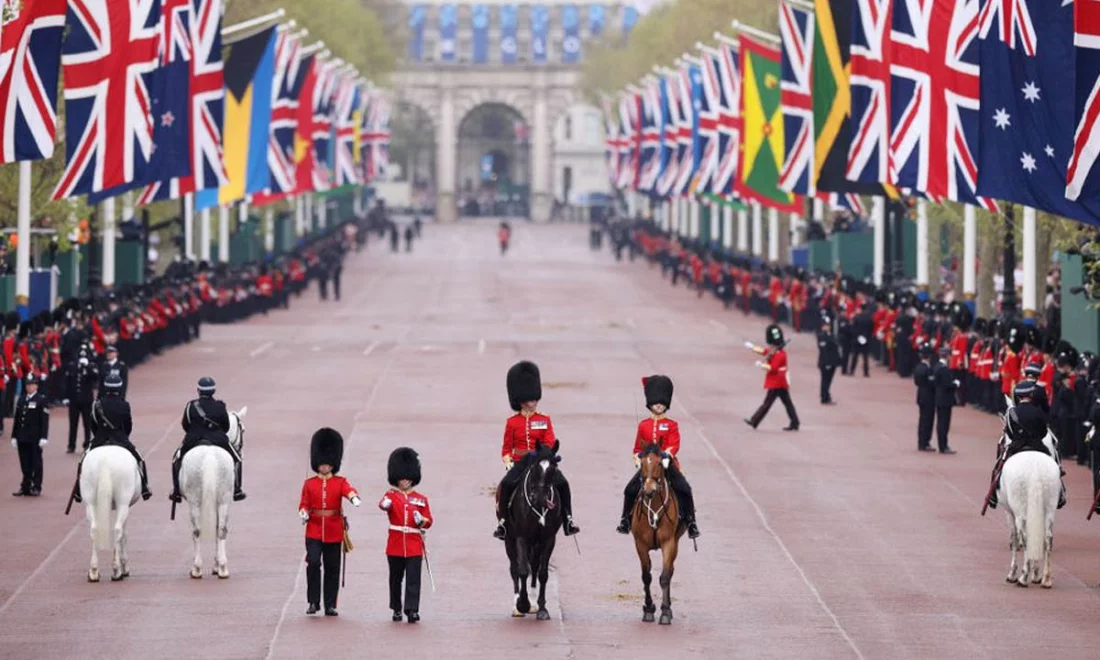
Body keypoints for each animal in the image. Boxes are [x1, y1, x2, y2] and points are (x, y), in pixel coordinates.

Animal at [81, 446, 140, 580]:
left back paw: (93, 571)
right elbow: (124, 535)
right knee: (118, 530)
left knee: (94, 529)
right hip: (122, 503)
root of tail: (105, 462)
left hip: (90, 502)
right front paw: (124, 567)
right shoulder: (125, 506)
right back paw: (117, 570)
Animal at [180, 404, 247, 580]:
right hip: (223, 499)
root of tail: (209, 454)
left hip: (195, 501)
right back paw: (223, 568)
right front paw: (217, 566)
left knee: (197, 531)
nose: (241, 451)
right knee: (221, 529)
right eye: (243, 430)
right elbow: (218, 528)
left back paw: (196, 568)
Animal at [503, 440, 563, 620]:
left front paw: (542, 608)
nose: (541, 498)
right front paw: (522, 604)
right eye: (535, 467)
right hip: (509, 539)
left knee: (535, 566)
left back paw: (534, 603)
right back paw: (517, 606)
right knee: (514, 568)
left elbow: (542, 573)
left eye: (553, 468)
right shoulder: (521, 537)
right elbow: (522, 570)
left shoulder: (548, 539)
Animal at [633, 444, 682, 624]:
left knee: (671, 571)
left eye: (660, 463)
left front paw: (665, 611)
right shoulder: (640, 544)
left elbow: (665, 577)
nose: (649, 489)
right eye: (641, 463)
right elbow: (646, 576)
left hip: (676, 542)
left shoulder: (669, 542)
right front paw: (648, 609)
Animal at [994, 420, 1060, 585]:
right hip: (1049, 510)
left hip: (1021, 511)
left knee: (1025, 538)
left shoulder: (1010, 513)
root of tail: (1035, 469)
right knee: (1048, 539)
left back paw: (1023, 578)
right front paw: (1036, 574)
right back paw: (1046, 579)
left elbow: (1014, 539)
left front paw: (1013, 573)